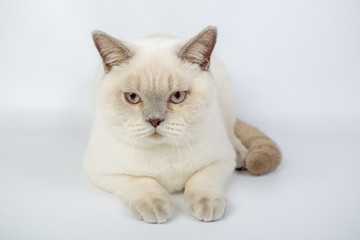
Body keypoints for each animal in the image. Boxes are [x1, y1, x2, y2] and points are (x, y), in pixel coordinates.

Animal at [84, 25, 282, 223]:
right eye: (132, 97)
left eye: (177, 96)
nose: (154, 120)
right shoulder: (102, 172)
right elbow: (141, 182)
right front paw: (155, 206)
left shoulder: (221, 160)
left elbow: (202, 180)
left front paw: (207, 205)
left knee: (231, 132)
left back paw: (241, 155)